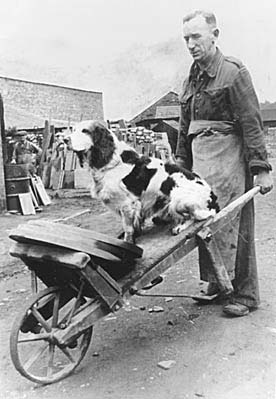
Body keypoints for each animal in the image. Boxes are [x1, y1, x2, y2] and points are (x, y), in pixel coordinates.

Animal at [68, 120, 219, 242]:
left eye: (85, 131)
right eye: (73, 130)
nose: (64, 139)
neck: (111, 161)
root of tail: (213, 198)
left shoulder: (127, 204)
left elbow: (128, 228)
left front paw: (128, 241)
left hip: (179, 199)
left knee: (198, 216)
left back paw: (179, 227)